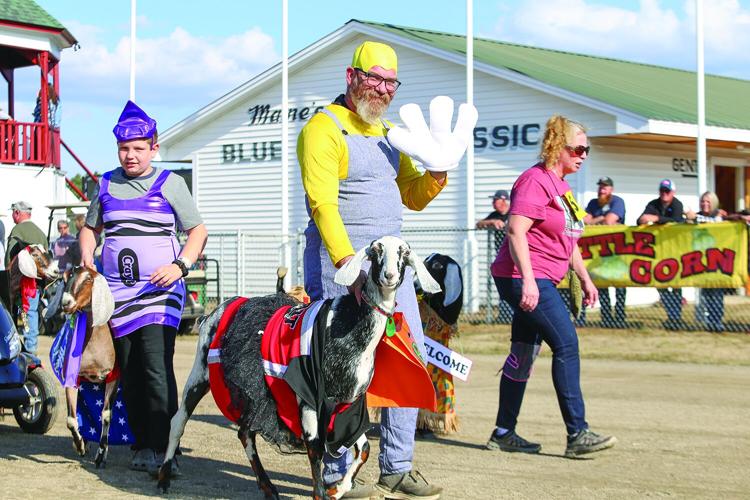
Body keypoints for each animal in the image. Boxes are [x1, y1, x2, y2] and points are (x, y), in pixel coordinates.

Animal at [59, 266, 116, 468]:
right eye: (67, 276)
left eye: (88, 279)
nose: (66, 302)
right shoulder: (73, 377)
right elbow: (70, 419)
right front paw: (80, 445)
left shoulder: (112, 377)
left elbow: (106, 415)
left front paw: (101, 455)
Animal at [157, 236, 441, 499]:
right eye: (376, 251)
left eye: (404, 252)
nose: (389, 276)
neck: (349, 323)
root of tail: (220, 308)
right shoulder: (308, 401)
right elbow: (316, 451)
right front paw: (324, 492)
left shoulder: (347, 407)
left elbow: (363, 448)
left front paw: (338, 489)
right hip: (201, 373)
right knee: (178, 421)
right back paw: (163, 478)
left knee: (245, 432)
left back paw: (268, 487)